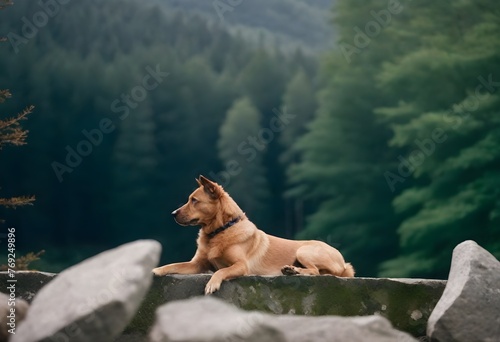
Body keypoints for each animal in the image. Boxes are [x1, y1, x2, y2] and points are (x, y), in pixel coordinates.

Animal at [154, 176, 354, 294]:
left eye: (194, 200)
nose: (172, 214)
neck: (220, 231)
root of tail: (344, 263)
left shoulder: (241, 266)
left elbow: (221, 270)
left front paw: (213, 283)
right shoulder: (197, 264)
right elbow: (174, 265)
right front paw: (156, 270)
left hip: (304, 251)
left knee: (315, 271)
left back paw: (294, 270)